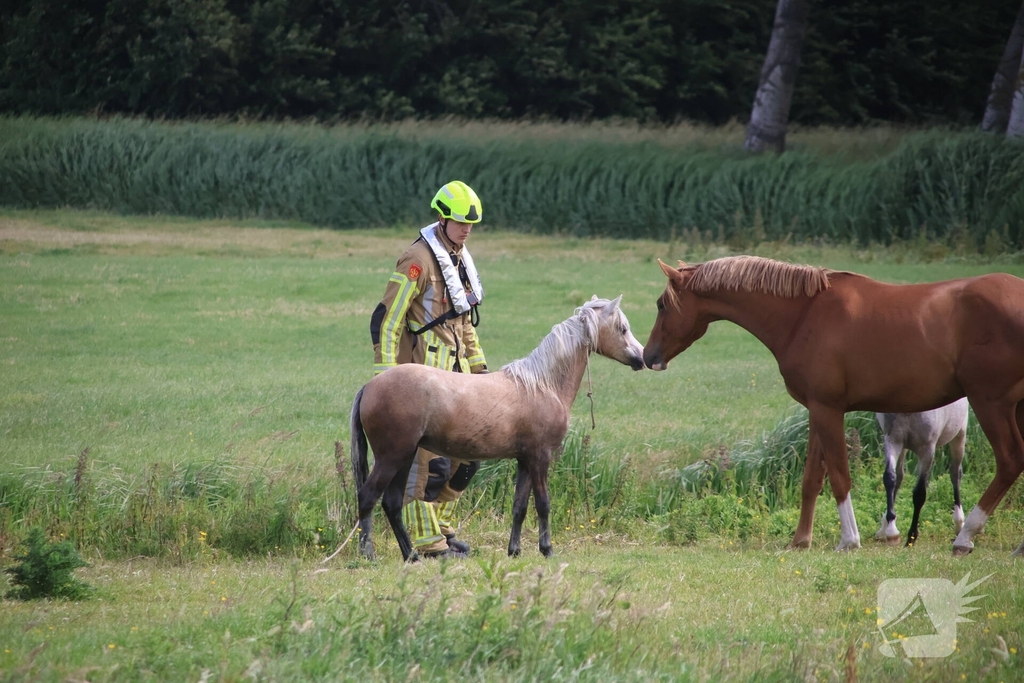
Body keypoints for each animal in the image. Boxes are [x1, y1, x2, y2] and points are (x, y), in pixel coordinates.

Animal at [350, 296, 646, 562]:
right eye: (622, 328)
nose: (641, 358)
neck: (542, 385)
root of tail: (370, 386)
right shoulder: (540, 457)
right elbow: (543, 504)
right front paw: (547, 550)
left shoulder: (524, 461)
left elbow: (519, 507)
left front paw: (514, 551)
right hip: (392, 457)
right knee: (367, 497)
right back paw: (368, 555)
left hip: (405, 456)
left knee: (392, 503)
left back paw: (411, 555)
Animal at [875, 398, 969, 547]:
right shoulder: (893, 440)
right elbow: (890, 478)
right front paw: (891, 531)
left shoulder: (927, 449)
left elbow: (919, 493)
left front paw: (911, 538)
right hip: (902, 446)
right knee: (899, 476)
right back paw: (884, 528)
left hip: (959, 435)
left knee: (955, 474)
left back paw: (959, 524)